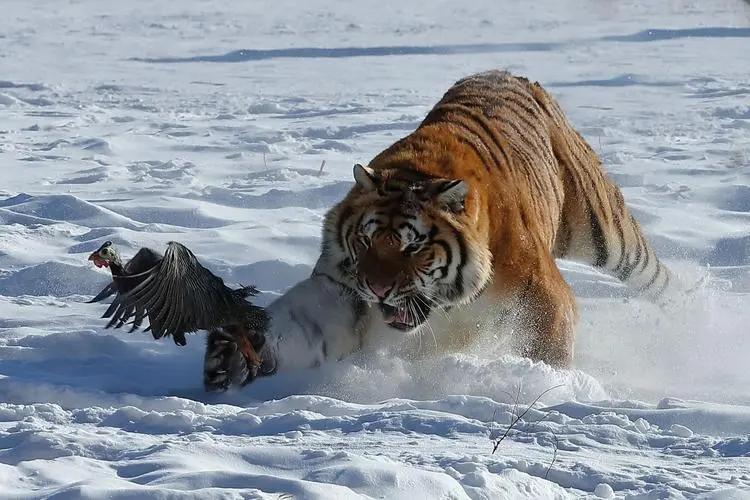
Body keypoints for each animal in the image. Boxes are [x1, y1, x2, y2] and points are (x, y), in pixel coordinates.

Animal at [309, 69, 671, 368]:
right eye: (365, 241)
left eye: (413, 248)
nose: (377, 289)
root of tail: (510, 74)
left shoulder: (547, 302)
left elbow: (551, 356)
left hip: (604, 229)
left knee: (658, 277)